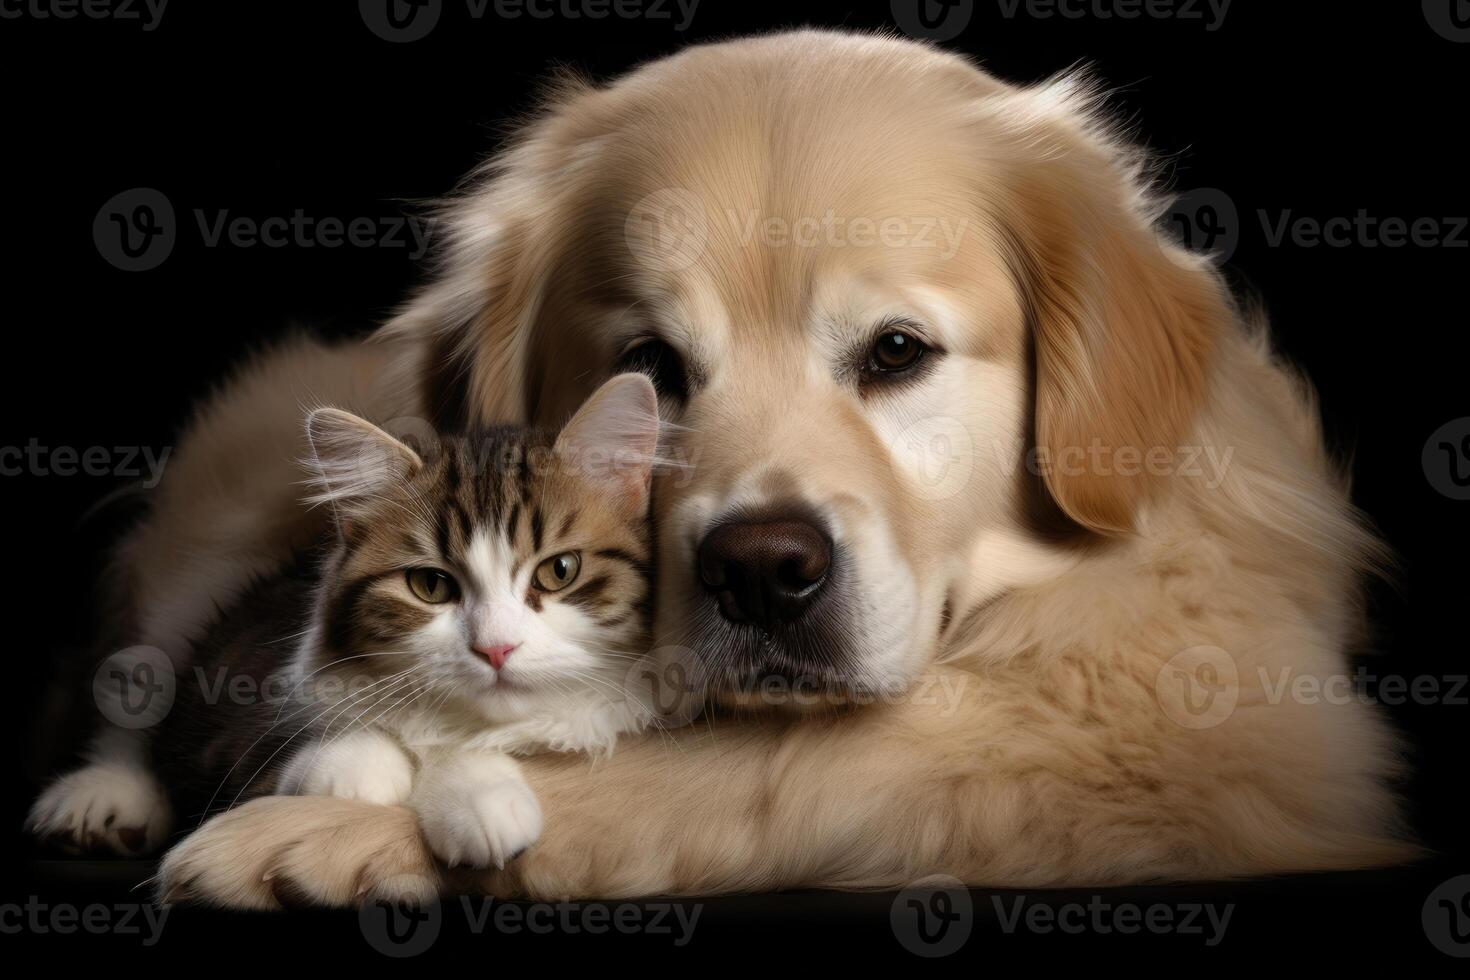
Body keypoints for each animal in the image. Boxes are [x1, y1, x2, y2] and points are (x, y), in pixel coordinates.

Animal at [42, 28, 1411, 905]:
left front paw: (330, 830)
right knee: (141, 665)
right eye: (651, 362)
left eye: (898, 350)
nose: (761, 572)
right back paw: (104, 794)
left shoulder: (1233, 733)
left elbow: (764, 770)